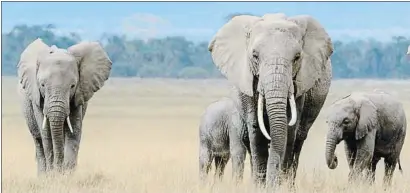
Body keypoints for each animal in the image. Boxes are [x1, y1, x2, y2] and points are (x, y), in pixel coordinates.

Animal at [17, 38, 112, 174]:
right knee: (38, 141)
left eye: (72, 86)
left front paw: (66, 174)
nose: (58, 168)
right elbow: (46, 134)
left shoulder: (78, 95)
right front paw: (53, 174)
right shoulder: (37, 97)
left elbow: (74, 132)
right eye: (42, 85)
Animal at [207, 12, 334, 187]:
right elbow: (256, 130)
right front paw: (260, 185)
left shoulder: (299, 84)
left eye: (297, 57)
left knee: (298, 142)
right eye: (255, 56)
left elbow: (289, 130)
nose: (272, 183)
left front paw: (281, 185)